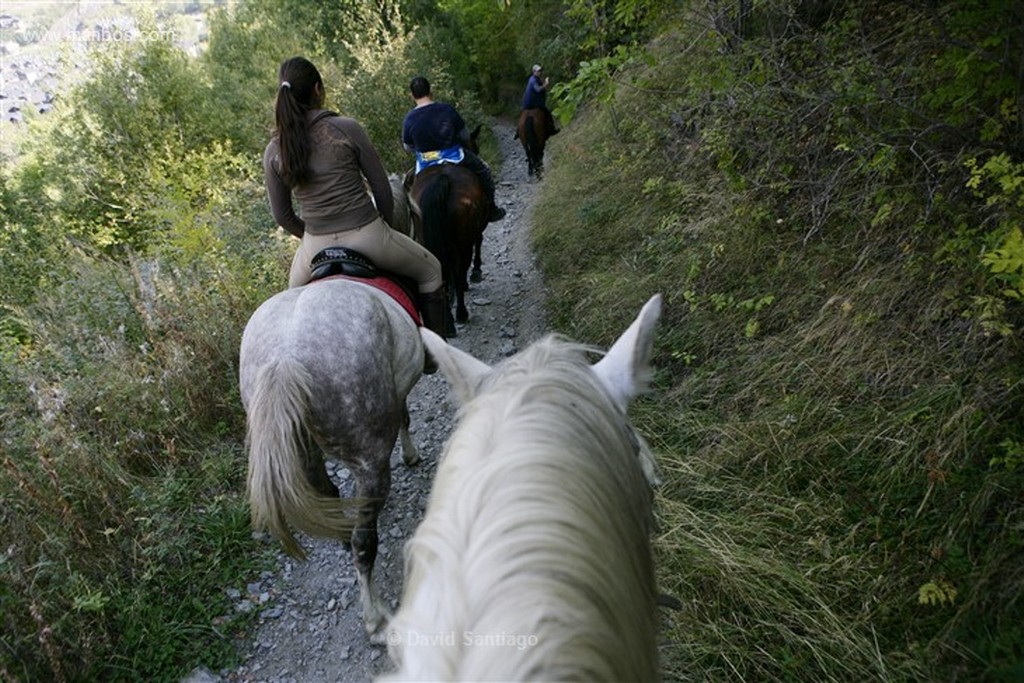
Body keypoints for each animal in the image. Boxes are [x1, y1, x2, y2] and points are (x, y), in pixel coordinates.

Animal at [407, 125, 487, 335]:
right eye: (475, 147)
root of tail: (443, 179)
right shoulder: (476, 230)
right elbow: (479, 242)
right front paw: (476, 272)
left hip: (429, 240)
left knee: (440, 273)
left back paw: (449, 322)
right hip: (463, 240)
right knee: (460, 269)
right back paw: (461, 313)